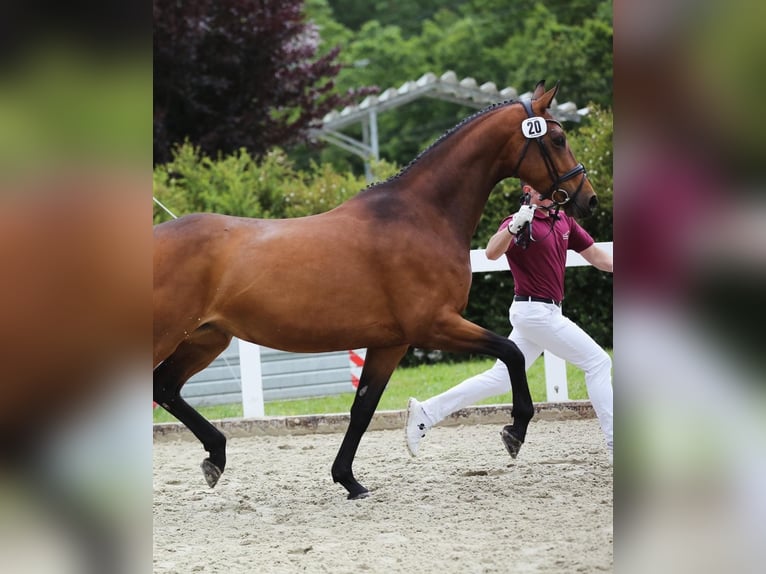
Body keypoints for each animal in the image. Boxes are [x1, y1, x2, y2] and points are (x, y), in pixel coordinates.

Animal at [153, 81, 597, 499]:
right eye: (558, 139)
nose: (588, 200)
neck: (422, 216)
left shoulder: (391, 342)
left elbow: (363, 407)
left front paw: (348, 480)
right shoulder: (434, 325)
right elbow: (511, 353)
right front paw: (515, 431)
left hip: (206, 339)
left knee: (166, 387)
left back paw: (216, 455)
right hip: (169, 337)